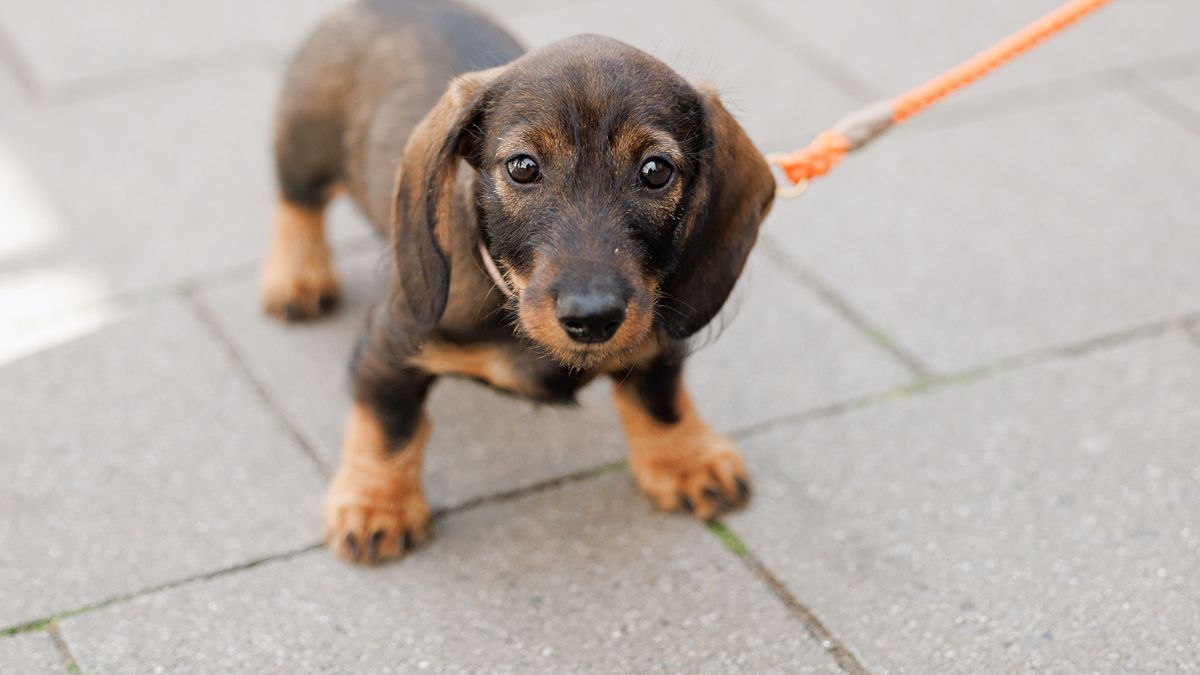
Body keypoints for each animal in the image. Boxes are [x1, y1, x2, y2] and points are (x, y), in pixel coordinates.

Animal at [258, 0, 772, 562]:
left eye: (656, 171)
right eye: (523, 167)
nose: (593, 318)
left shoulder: (655, 331)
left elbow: (660, 399)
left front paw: (686, 458)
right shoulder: (390, 345)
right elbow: (388, 425)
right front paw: (376, 504)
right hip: (304, 145)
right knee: (297, 204)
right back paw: (297, 276)